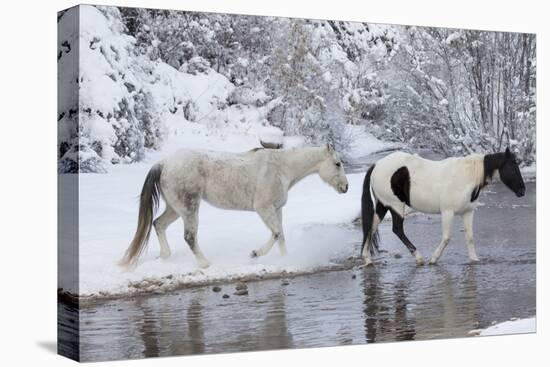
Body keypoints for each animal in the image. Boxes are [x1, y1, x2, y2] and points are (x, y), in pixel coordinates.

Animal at [119, 145, 350, 268]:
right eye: (337, 163)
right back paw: (205, 264)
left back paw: (166, 256)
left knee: (158, 224)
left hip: (175, 209)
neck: (281, 168)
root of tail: (164, 164)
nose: (346, 187)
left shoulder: (277, 209)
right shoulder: (264, 209)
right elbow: (276, 233)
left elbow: (281, 236)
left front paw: (286, 259)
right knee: (189, 236)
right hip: (189, 208)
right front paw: (255, 253)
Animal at [362, 148, 528, 266]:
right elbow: (447, 237)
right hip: (395, 205)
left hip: (383, 205)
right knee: (397, 229)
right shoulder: (448, 212)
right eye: (512, 166)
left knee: (371, 227)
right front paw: (434, 259)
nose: (522, 191)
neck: (466, 177)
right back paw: (419, 258)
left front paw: (474, 260)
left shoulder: (467, 212)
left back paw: (367, 259)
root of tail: (376, 165)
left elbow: (470, 237)